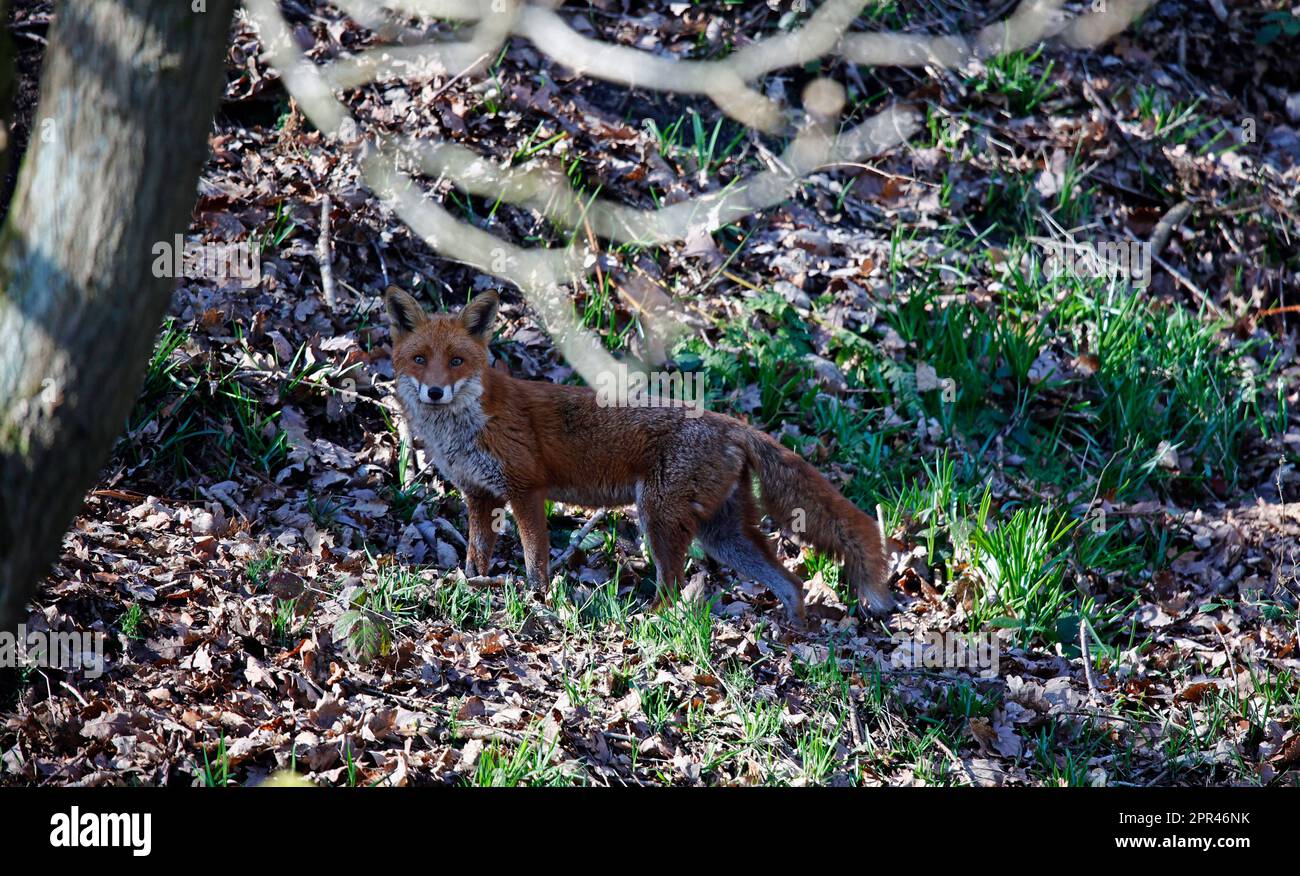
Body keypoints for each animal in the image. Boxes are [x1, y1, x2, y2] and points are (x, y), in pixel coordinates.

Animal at [379, 283, 899, 623]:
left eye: (457, 361)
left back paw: (647, 621)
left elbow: (535, 561)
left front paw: (536, 602)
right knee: (790, 584)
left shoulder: (526, 489)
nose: (435, 393)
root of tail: (731, 423)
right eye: (420, 359)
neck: (464, 428)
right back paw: (793, 637)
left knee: (673, 588)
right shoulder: (478, 494)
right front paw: (474, 588)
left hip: (660, 517)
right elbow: (476, 558)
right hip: (721, 534)